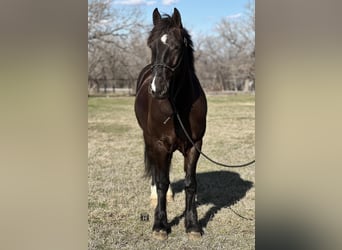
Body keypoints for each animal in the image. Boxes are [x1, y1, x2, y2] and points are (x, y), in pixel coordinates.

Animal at [135, 8, 207, 240]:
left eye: (176, 46)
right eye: (151, 45)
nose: (157, 89)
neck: (178, 105)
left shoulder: (195, 145)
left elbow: (190, 183)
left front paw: (192, 225)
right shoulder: (159, 144)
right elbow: (161, 181)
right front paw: (160, 225)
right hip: (150, 141)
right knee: (156, 172)